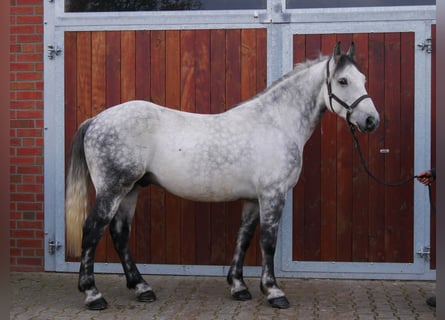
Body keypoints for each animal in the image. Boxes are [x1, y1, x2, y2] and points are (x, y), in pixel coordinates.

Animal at [65, 42, 378, 310]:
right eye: (343, 81)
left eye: (363, 78)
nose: (371, 121)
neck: (276, 122)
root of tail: (95, 121)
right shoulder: (272, 194)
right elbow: (268, 241)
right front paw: (274, 292)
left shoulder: (253, 199)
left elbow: (244, 237)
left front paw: (238, 287)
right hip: (113, 190)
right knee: (92, 230)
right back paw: (93, 295)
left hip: (131, 189)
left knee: (119, 234)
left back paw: (142, 288)